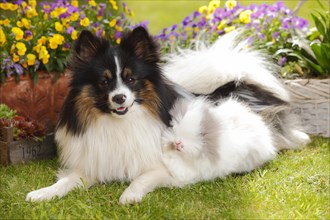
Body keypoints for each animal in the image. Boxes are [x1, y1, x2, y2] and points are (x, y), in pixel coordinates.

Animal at [26, 26, 310, 204]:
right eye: (104, 82)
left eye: (131, 79)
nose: (119, 98)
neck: (122, 123)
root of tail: (231, 85)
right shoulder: (94, 164)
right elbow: (66, 182)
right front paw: (43, 193)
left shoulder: (162, 168)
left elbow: (141, 178)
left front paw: (129, 195)